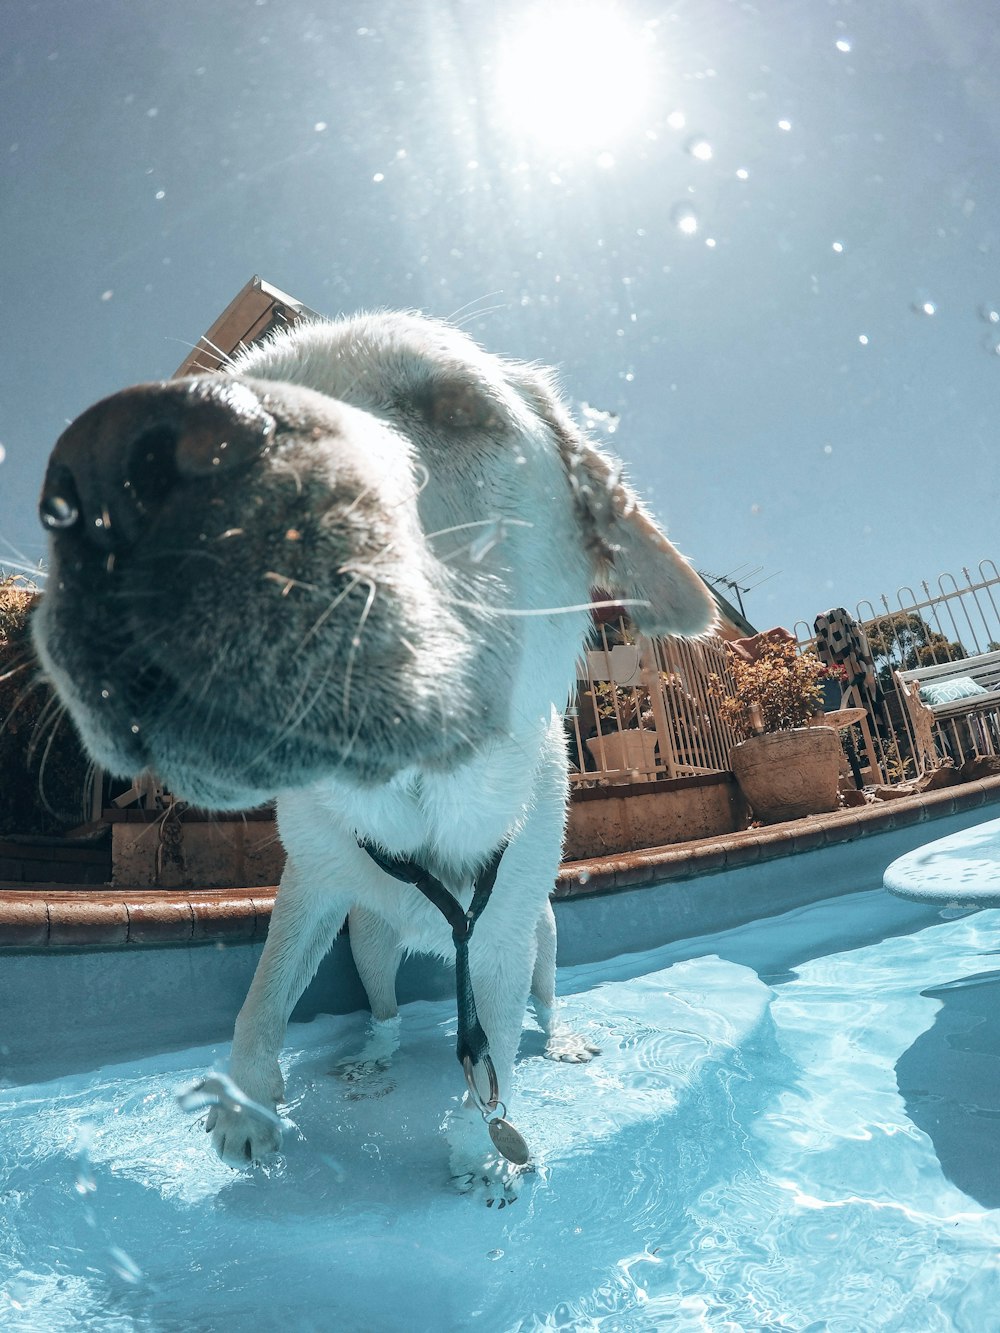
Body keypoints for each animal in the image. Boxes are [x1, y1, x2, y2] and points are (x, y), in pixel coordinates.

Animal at [33, 311, 720, 1199]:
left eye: (458, 408)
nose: (112, 457)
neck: (420, 794)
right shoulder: (312, 881)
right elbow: (262, 993)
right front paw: (245, 1106)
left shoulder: (502, 939)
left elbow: (498, 1053)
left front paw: (483, 1150)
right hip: (368, 941)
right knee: (388, 1009)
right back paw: (372, 1058)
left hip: (544, 930)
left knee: (543, 1000)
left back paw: (560, 1037)